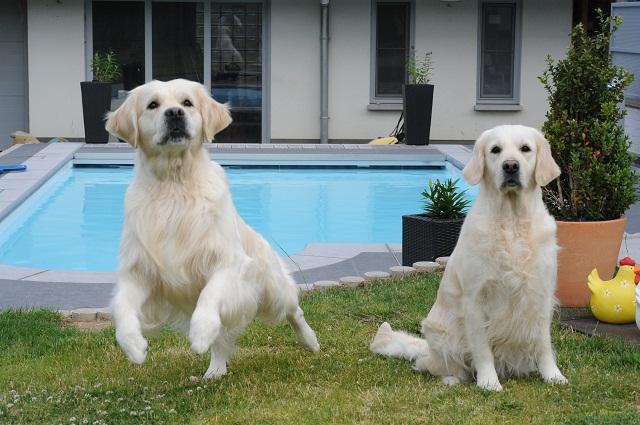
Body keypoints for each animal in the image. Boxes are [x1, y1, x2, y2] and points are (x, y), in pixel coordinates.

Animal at [107, 79, 322, 378]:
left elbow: (209, 295)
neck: (174, 184)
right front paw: (134, 346)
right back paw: (215, 370)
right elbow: (122, 308)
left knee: (294, 312)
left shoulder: (228, 262)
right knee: (223, 338)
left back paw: (310, 341)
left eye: (187, 103)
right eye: (152, 105)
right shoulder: (139, 272)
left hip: (273, 292)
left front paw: (200, 333)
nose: (174, 113)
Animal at [372, 124, 568, 390]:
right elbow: (482, 349)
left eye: (525, 149)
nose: (510, 166)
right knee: (430, 364)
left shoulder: (541, 293)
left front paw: (553, 376)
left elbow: (543, 344)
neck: (512, 221)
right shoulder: (476, 297)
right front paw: (489, 382)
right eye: (495, 150)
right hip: (439, 333)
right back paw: (451, 379)